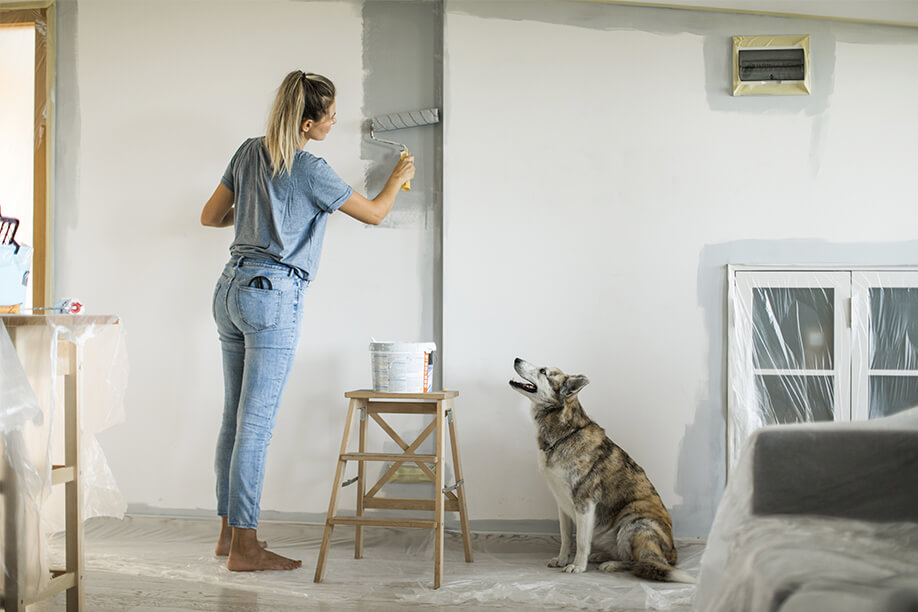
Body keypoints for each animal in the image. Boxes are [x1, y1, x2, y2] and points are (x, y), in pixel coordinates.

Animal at [506, 358, 692, 584]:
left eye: (543, 371)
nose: (516, 359)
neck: (565, 433)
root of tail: (673, 553)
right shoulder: (562, 504)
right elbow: (566, 538)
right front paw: (562, 560)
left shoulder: (585, 504)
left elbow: (580, 540)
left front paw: (577, 566)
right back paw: (602, 556)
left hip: (635, 523)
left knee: (642, 561)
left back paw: (611, 564)